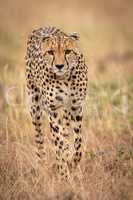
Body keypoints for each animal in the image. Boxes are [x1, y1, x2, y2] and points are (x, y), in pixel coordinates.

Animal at [25, 26, 88, 178]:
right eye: (51, 52)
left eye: (67, 51)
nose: (59, 66)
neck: (65, 78)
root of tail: (43, 27)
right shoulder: (52, 110)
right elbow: (58, 142)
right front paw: (64, 173)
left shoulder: (76, 106)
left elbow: (78, 142)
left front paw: (72, 163)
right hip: (34, 105)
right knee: (39, 137)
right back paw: (42, 164)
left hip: (65, 111)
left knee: (65, 131)